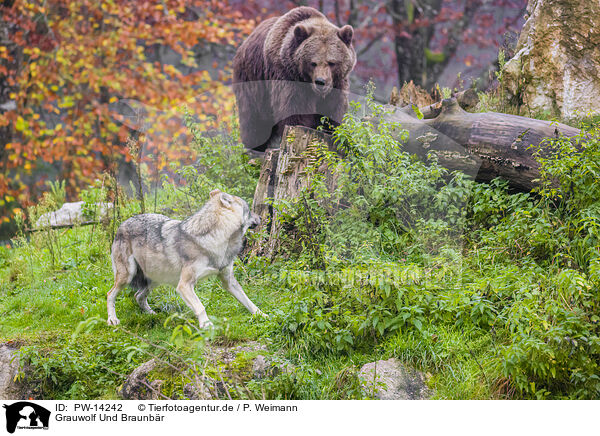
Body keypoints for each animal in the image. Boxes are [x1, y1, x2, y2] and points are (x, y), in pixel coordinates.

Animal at [107, 189, 264, 328]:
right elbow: (200, 306)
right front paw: (206, 325)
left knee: (138, 296)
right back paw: (113, 320)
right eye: (249, 210)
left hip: (155, 279)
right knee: (110, 294)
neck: (215, 238)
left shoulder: (228, 281)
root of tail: (122, 224)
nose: (261, 218)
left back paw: (152, 314)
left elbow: (248, 301)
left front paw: (262, 315)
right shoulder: (184, 285)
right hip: (127, 276)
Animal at [232, 5, 356, 153]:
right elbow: (294, 108)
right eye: (313, 63)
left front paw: (333, 131)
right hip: (252, 81)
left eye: (332, 62)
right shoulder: (286, 76)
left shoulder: (337, 84)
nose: (320, 82)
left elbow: (334, 110)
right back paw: (255, 148)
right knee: (254, 119)